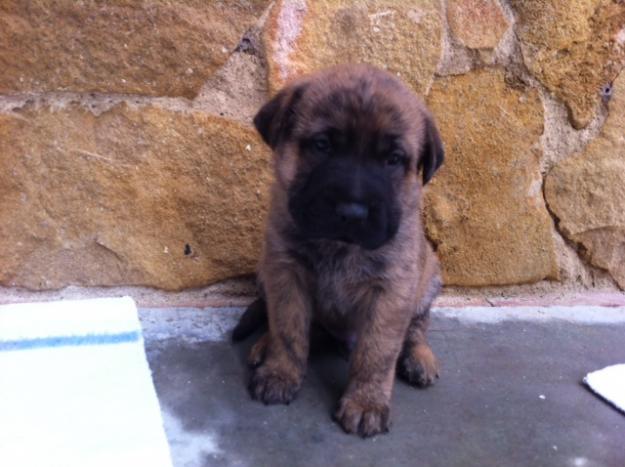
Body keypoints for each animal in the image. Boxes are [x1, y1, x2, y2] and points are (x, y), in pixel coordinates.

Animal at [233, 64, 444, 436]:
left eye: (393, 159)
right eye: (323, 145)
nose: (352, 212)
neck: (340, 247)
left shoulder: (391, 290)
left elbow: (378, 351)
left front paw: (366, 402)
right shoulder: (286, 271)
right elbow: (288, 329)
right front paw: (280, 372)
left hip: (428, 280)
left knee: (417, 328)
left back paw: (420, 358)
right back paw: (264, 345)